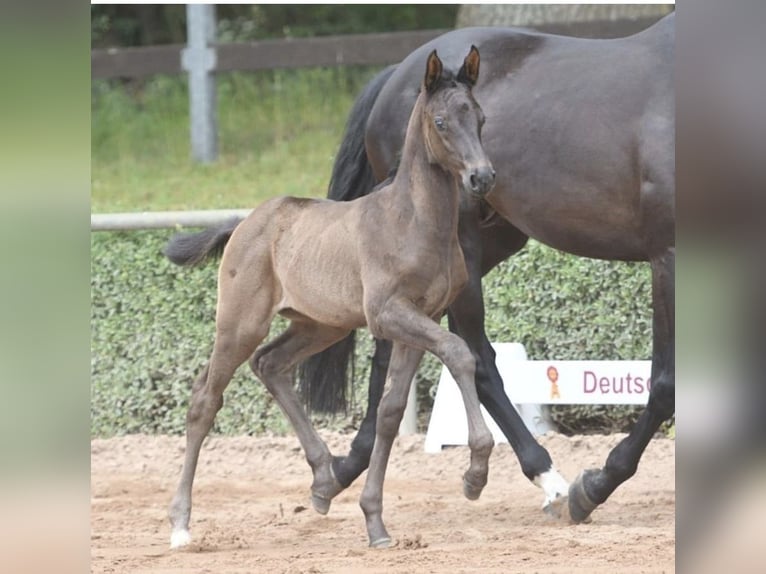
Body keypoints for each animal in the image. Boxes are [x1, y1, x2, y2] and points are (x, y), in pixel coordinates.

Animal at [165, 47, 498, 549]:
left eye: (478, 117)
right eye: (441, 121)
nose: (482, 177)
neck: (414, 222)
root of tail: (244, 222)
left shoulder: (422, 318)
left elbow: (389, 412)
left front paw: (375, 522)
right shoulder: (388, 314)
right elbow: (460, 354)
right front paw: (474, 474)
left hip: (320, 325)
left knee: (270, 363)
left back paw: (323, 478)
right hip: (241, 323)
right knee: (206, 398)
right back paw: (181, 523)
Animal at [298, 12, 674, 523]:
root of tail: (397, 74)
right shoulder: (668, 255)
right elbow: (666, 383)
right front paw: (595, 486)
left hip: (489, 242)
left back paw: (345, 468)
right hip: (459, 247)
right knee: (473, 356)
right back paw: (549, 479)